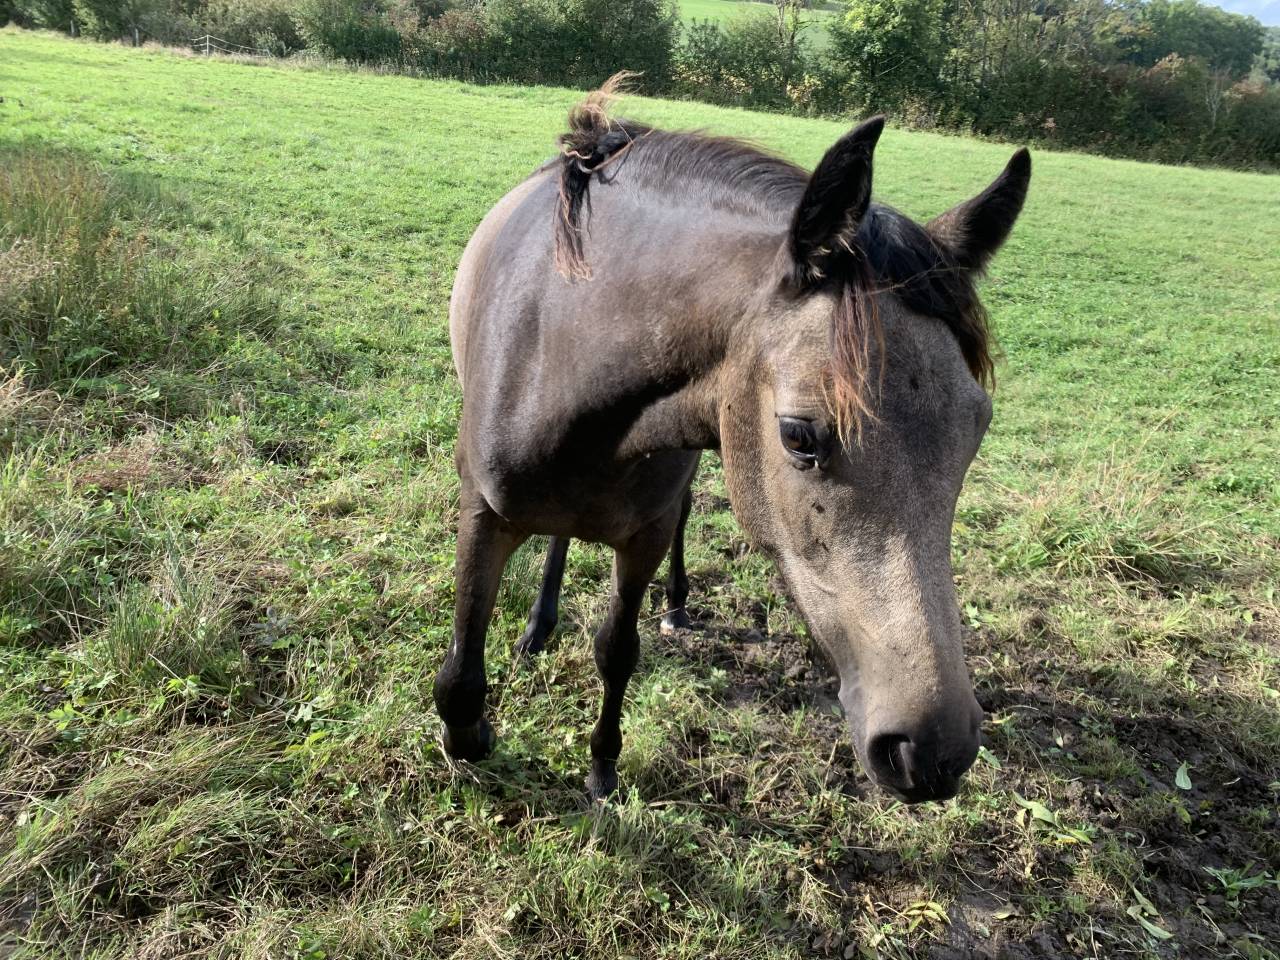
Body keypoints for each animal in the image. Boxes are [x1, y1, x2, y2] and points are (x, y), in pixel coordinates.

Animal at [435, 78, 1030, 804]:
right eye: (799, 434)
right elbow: (463, 667)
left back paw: (673, 605)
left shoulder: (645, 534)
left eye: (976, 427)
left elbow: (617, 649)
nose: (934, 751)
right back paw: (540, 624)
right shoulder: (481, 509)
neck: (559, 353)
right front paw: (469, 737)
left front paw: (603, 766)